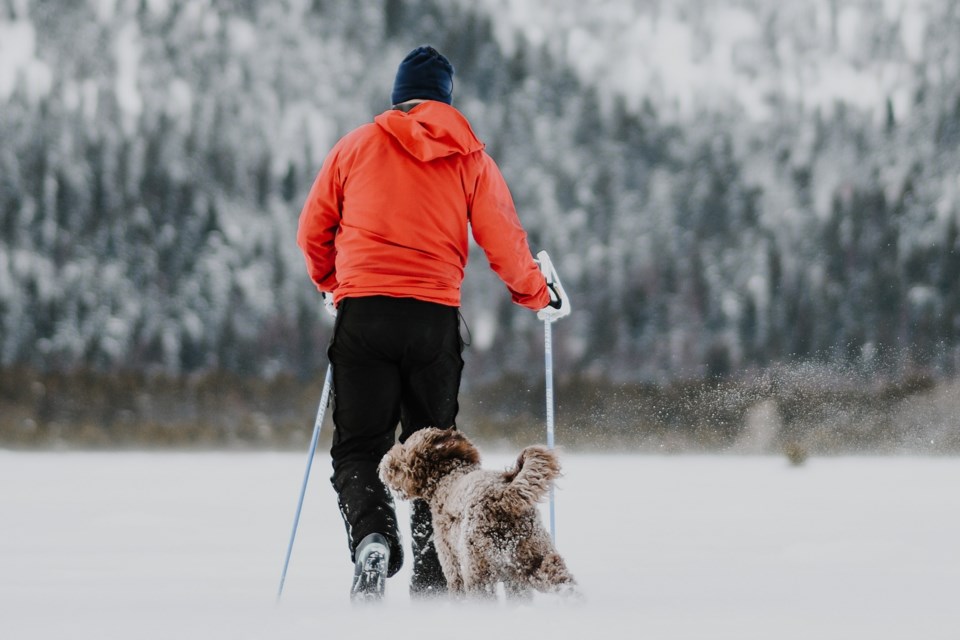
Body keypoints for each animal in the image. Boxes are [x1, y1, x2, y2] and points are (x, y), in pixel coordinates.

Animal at [380, 424, 576, 600]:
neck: (447, 475)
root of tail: (502, 497)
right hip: (536, 557)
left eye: (404, 449)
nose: (384, 463)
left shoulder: (451, 563)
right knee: (566, 586)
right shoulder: (514, 581)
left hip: (478, 568)